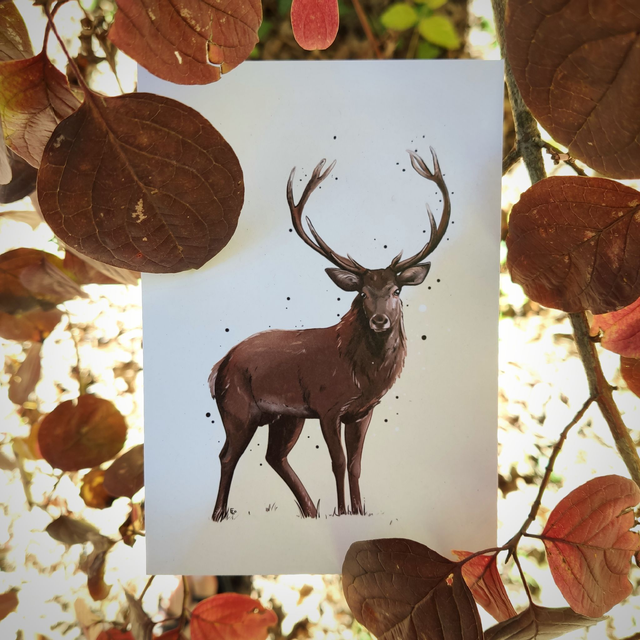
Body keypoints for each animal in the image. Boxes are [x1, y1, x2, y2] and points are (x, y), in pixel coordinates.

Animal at [208, 148, 451, 521]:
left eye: (396, 291)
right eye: (363, 293)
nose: (380, 320)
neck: (361, 375)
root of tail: (218, 366)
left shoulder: (363, 411)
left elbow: (355, 464)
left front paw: (358, 510)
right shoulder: (327, 406)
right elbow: (337, 462)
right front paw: (342, 511)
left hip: (286, 416)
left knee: (274, 456)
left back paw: (310, 511)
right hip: (237, 407)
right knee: (227, 456)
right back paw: (220, 514)